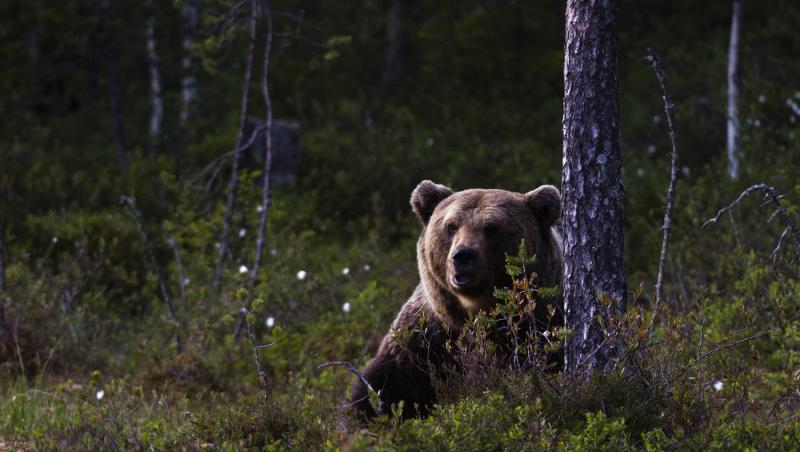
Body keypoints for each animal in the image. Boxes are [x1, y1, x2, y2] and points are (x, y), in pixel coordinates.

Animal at [350, 181, 564, 420]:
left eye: (491, 228)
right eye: (451, 226)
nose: (463, 256)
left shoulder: (543, 328)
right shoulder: (426, 339)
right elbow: (385, 384)